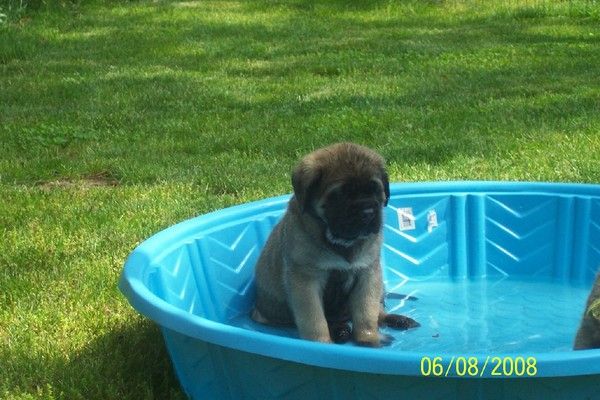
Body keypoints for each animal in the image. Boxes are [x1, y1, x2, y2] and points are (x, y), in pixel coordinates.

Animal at [251, 142, 419, 346]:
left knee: (378, 311)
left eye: (374, 190)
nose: (368, 212)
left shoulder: (368, 273)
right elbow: (314, 319)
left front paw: (369, 338)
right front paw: (322, 344)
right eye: (340, 195)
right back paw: (340, 331)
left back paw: (397, 320)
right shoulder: (305, 280)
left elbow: (366, 312)